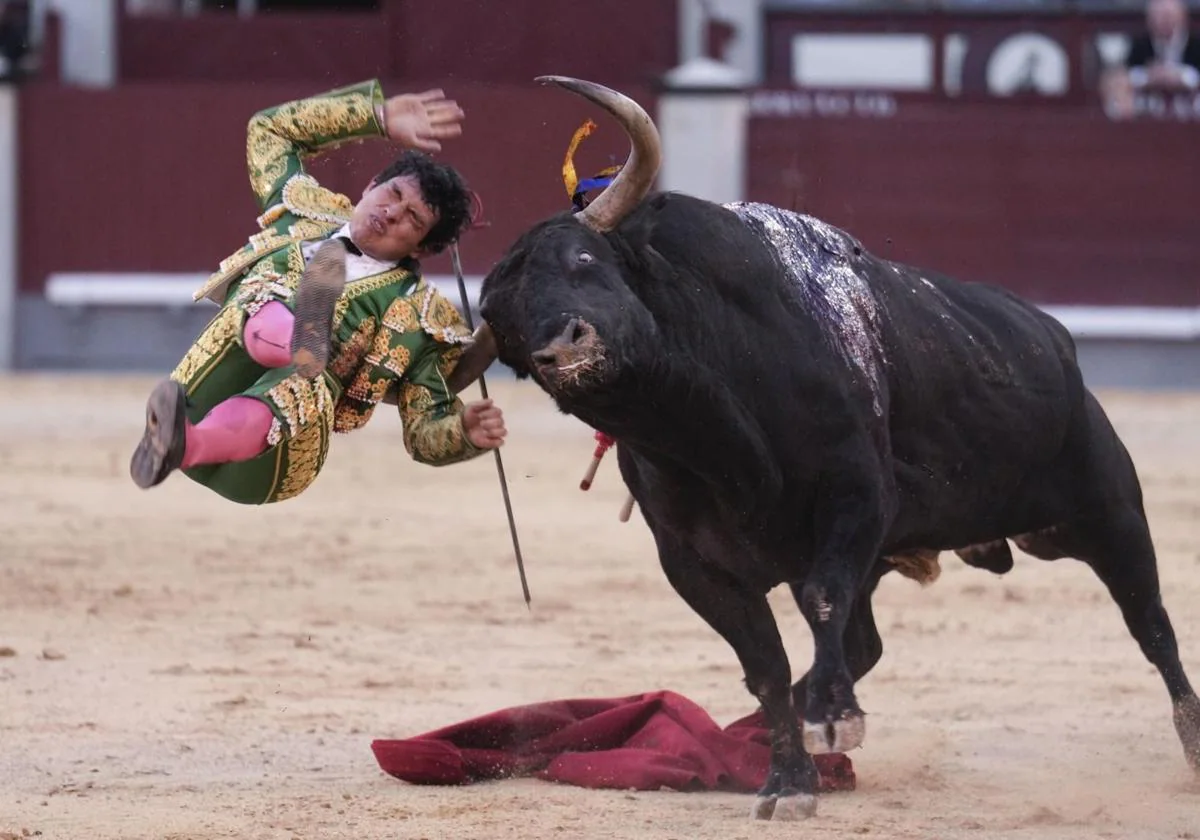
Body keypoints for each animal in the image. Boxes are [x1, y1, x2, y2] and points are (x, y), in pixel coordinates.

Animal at [456, 78, 1190, 820]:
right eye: (506, 330)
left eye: (584, 260)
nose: (562, 348)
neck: (710, 431)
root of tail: (1054, 337)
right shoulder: (693, 565)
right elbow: (765, 665)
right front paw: (789, 776)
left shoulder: (856, 497)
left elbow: (821, 600)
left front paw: (834, 719)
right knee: (865, 641)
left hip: (1108, 512)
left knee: (1152, 624)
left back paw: (1191, 744)